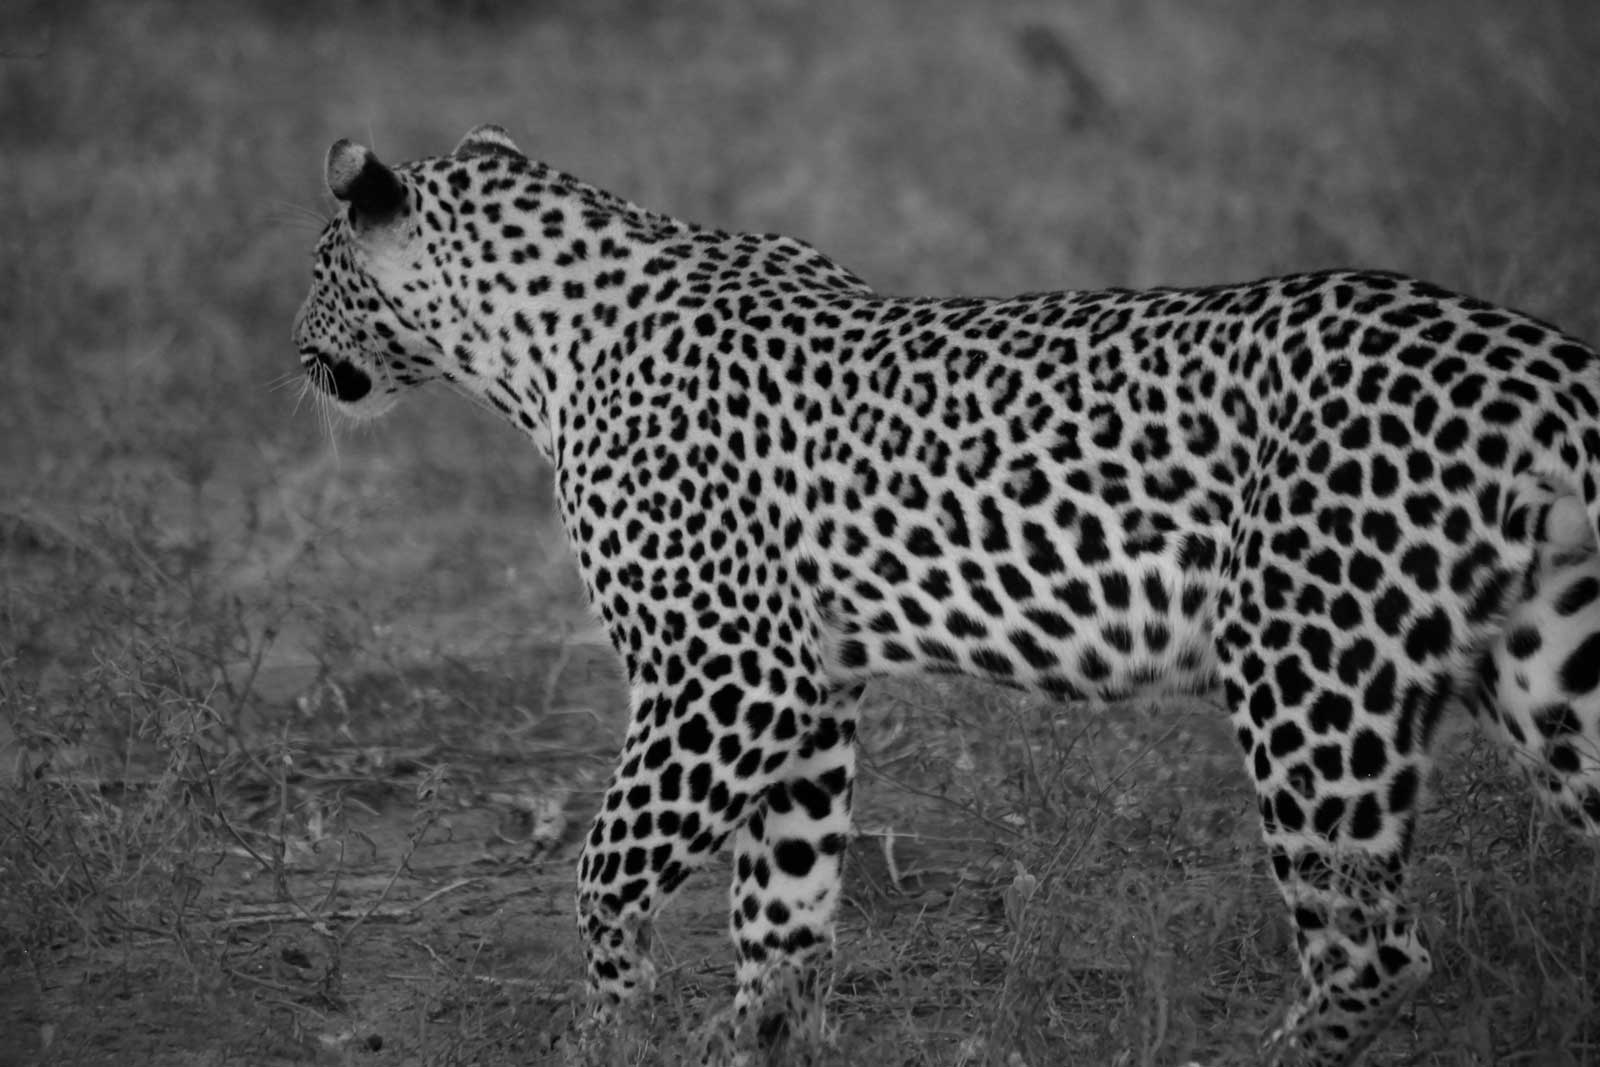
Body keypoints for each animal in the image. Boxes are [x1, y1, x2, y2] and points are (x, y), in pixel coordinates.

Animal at [292, 124, 1600, 1066]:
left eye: (317, 273)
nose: (294, 355)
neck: (533, 341)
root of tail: (1532, 359)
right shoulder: (810, 691)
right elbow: (783, 896)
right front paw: (757, 1035)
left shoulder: (725, 670)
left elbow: (607, 863)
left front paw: (610, 1025)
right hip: (1549, 671)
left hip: (1310, 672)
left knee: (1372, 944)